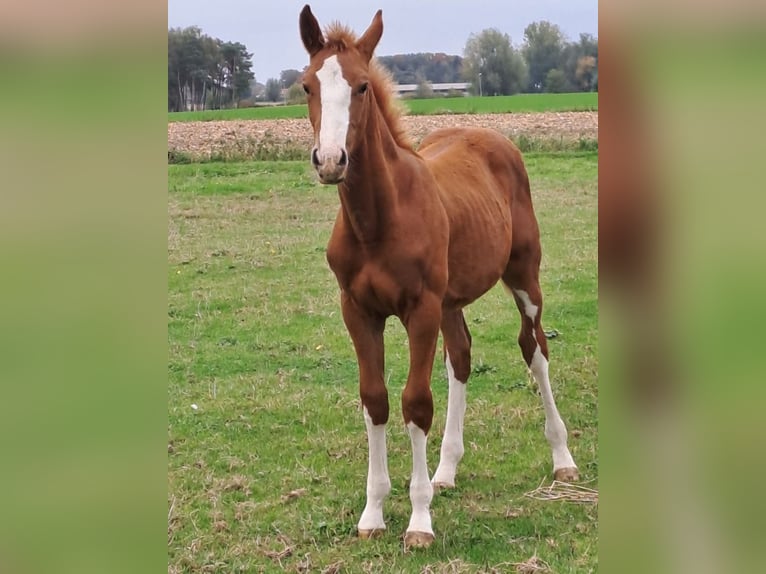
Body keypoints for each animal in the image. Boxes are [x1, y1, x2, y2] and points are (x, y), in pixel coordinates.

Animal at [299, 5, 579, 549]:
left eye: (362, 86)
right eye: (307, 85)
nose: (330, 160)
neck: (378, 222)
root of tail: (491, 136)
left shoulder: (420, 309)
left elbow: (416, 402)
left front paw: (419, 521)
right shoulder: (358, 311)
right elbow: (376, 401)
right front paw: (373, 513)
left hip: (522, 276)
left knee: (534, 348)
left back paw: (563, 459)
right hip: (451, 301)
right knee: (462, 357)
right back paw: (446, 471)